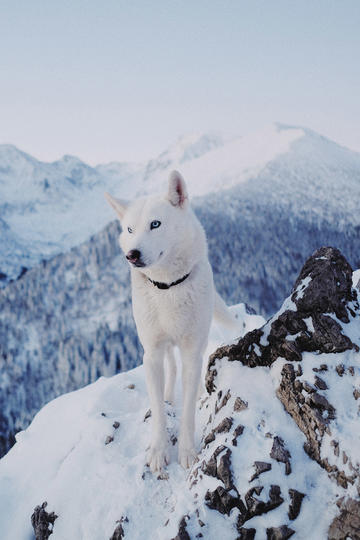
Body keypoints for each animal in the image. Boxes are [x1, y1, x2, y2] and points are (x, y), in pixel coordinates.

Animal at [105, 171, 238, 470]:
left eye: (155, 224)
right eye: (129, 230)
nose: (132, 255)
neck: (168, 288)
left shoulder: (191, 351)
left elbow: (188, 410)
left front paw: (187, 452)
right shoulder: (151, 353)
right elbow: (157, 410)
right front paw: (158, 450)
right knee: (171, 367)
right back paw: (168, 396)